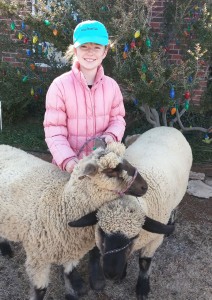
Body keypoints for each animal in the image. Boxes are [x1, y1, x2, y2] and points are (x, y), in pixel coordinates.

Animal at [0, 142, 147, 300]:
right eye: (111, 172)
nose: (145, 186)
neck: (61, 206)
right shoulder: (38, 258)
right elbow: (40, 290)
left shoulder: (71, 250)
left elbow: (68, 273)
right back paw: (5, 249)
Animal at [68, 126, 193, 300]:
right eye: (102, 232)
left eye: (134, 237)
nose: (111, 274)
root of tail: (168, 127)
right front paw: (122, 274)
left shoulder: (154, 240)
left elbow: (144, 263)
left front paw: (142, 288)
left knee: (175, 208)